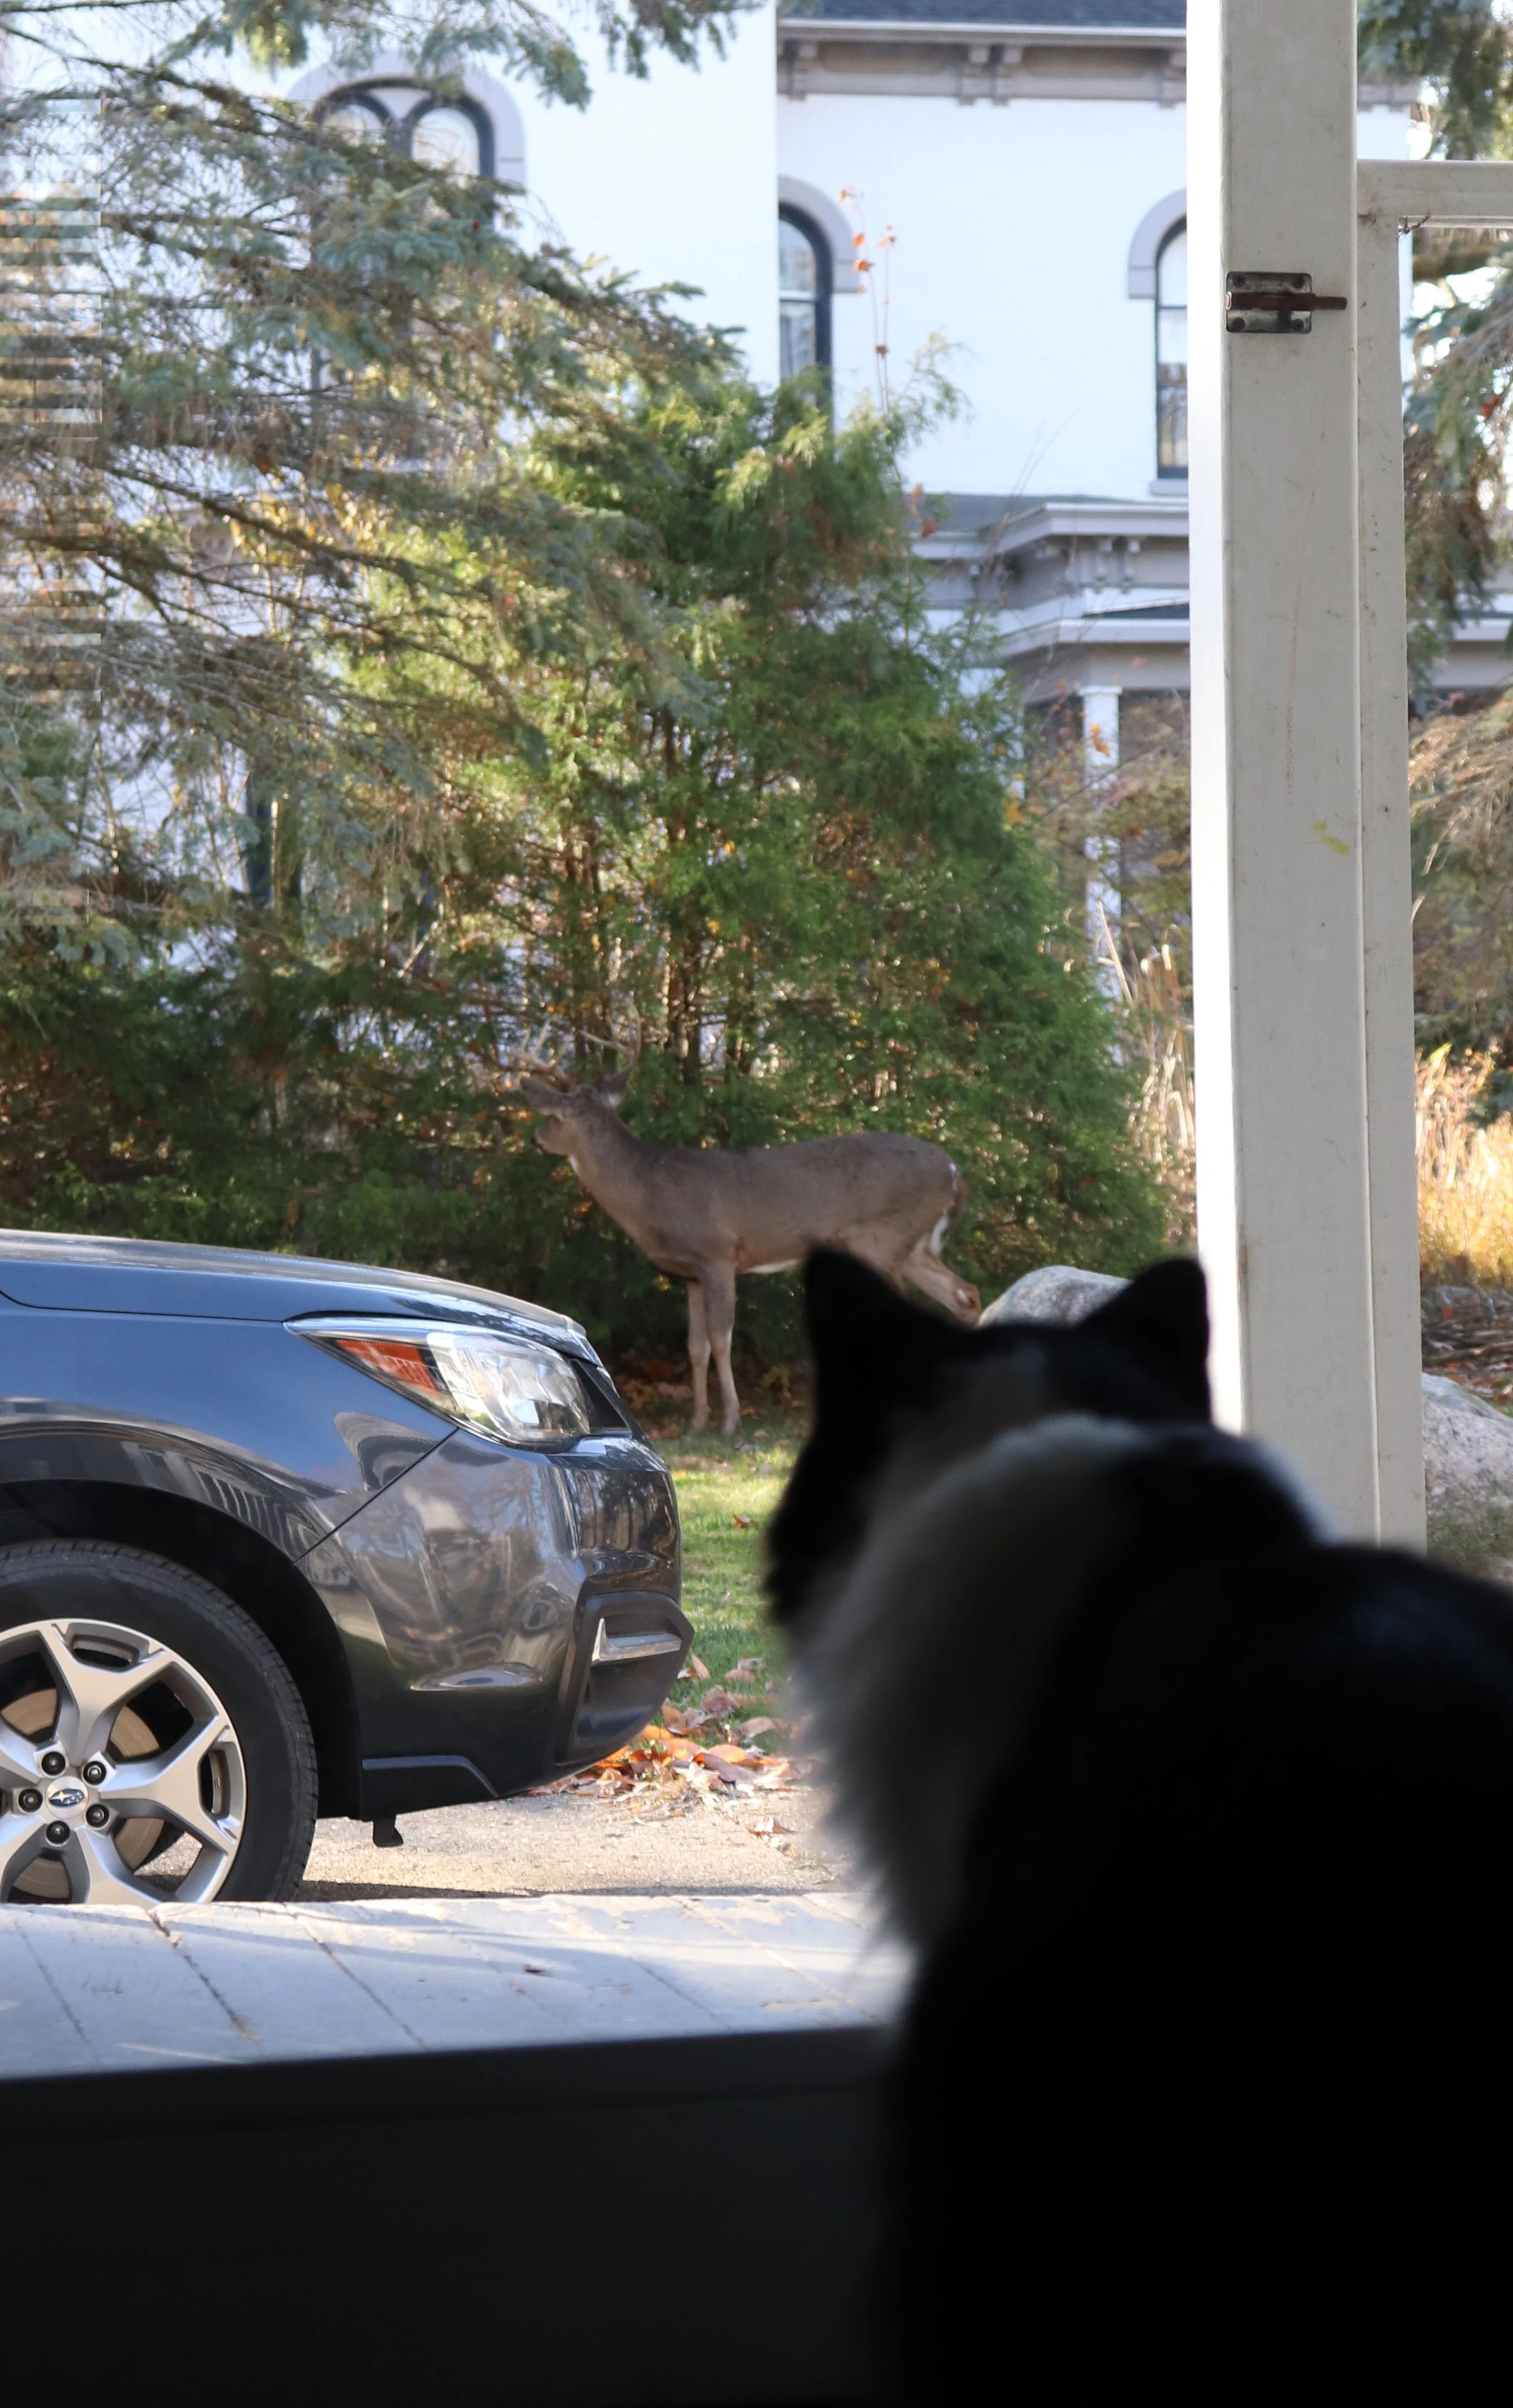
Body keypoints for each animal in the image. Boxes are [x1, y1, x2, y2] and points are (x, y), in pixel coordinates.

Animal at [519, 1068, 980, 1437]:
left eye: (553, 1117)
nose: (537, 1139)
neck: (652, 1192)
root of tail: (954, 1172)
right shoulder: (690, 1274)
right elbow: (696, 1346)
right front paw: (697, 1423)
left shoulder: (718, 1255)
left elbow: (721, 1340)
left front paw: (730, 1422)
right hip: (910, 1246)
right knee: (965, 1294)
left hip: (882, 1238)